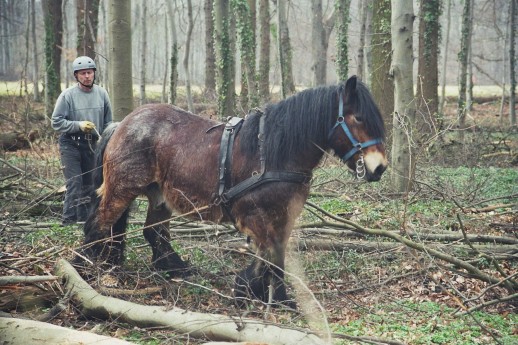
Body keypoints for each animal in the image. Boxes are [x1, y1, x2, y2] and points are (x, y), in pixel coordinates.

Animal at [81, 75, 388, 306]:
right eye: (358, 118)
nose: (379, 168)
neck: (273, 153)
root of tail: (122, 124)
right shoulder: (257, 215)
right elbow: (270, 254)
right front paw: (261, 292)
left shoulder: (283, 216)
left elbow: (273, 255)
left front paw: (260, 291)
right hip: (121, 190)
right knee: (99, 225)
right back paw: (87, 269)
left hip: (160, 195)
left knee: (153, 232)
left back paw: (173, 268)